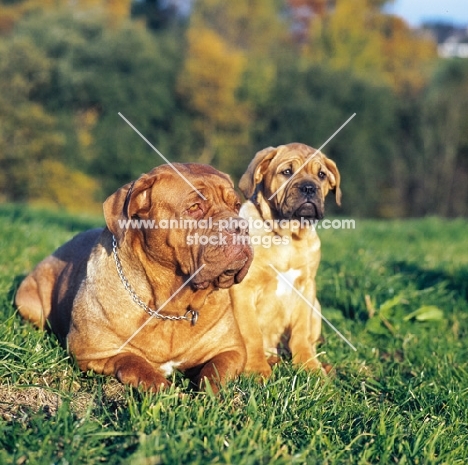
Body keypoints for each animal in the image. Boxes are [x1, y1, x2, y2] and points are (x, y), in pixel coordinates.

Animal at [15, 163, 252, 392]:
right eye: (194, 207)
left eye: (236, 206)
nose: (241, 226)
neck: (170, 308)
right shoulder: (93, 352)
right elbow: (132, 361)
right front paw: (160, 386)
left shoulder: (231, 350)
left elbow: (216, 370)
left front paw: (210, 394)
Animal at [229, 142, 342, 376]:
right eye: (287, 172)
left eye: (321, 175)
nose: (309, 188)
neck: (288, 238)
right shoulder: (243, 289)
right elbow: (251, 332)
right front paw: (256, 369)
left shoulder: (306, 287)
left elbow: (301, 333)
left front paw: (309, 366)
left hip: (316, 306)